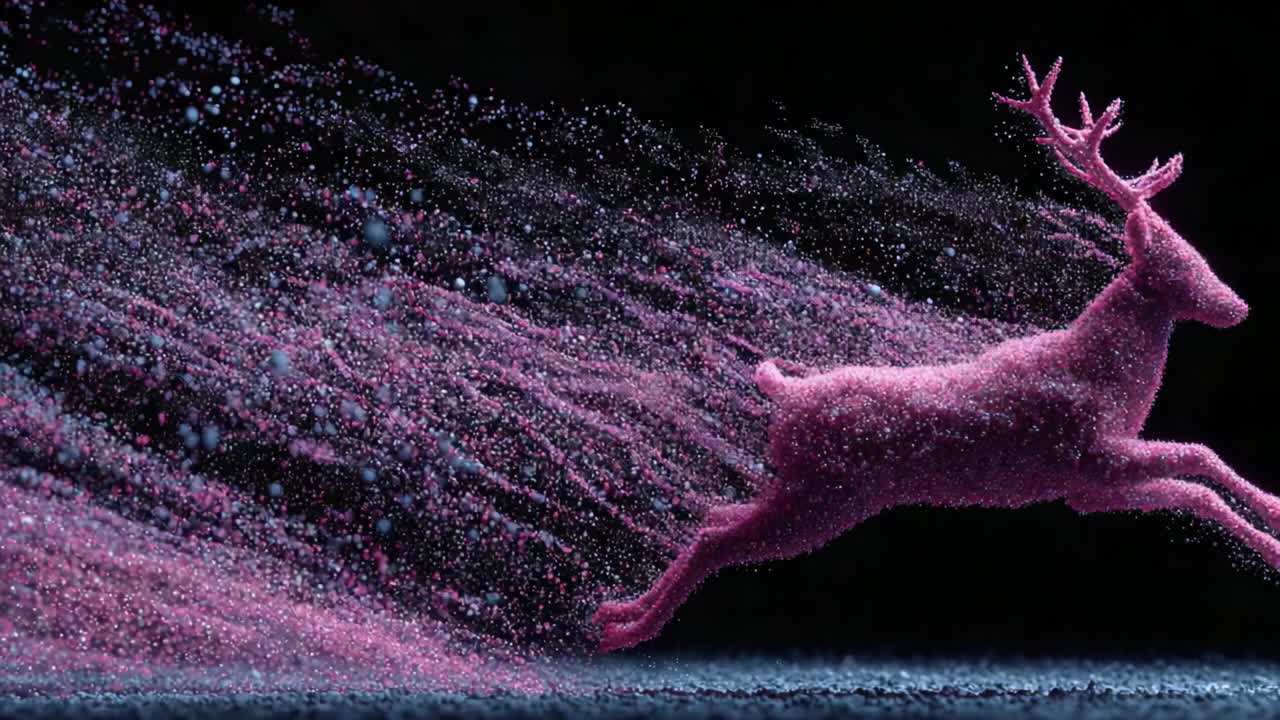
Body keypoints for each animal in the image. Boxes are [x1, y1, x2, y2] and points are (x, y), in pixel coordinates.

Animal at [593, 56, 1264, 653]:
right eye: (1183, 260)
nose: (1238, 307)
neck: (1108, 374)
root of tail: (786, 393)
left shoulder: (1087, 487)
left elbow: (1196, 491)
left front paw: (1270, 538)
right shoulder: (1093, 450)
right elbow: (1200, 458)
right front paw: (1276, 525)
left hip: (804, 490)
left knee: (712, 520)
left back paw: (612, 614)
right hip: (826, 496)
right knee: (719, 540)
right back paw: (628, 632)